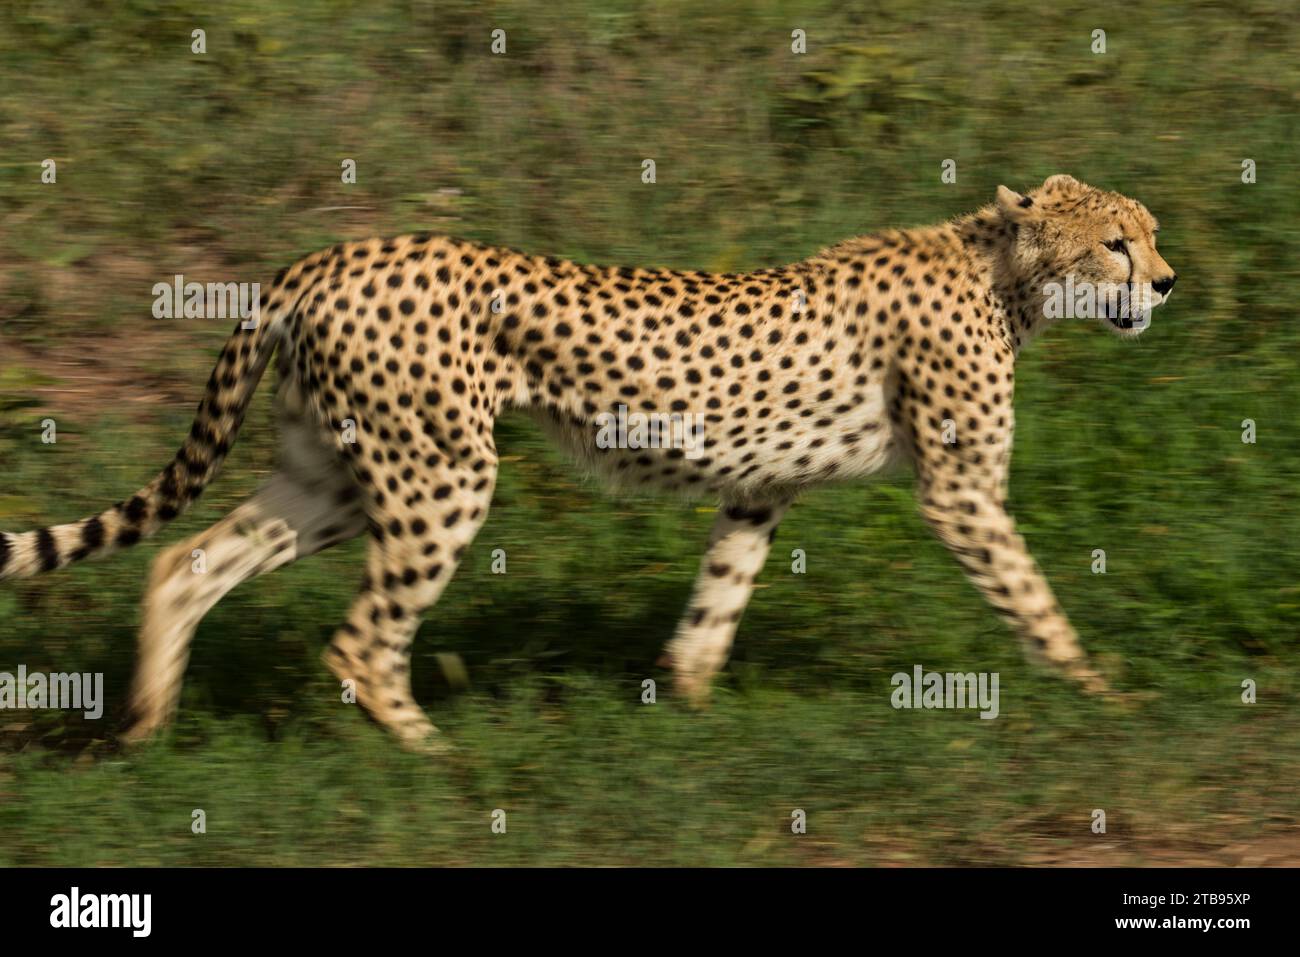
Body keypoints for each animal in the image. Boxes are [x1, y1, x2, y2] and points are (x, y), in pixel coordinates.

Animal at [0, 175, 1180, 748]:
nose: (1167, 282)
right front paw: (1109, 702)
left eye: (1150, 233)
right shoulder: (960, 491)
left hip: (333, 472)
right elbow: (1034, 597)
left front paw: (689, 708)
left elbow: (716, 601)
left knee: (185, 563)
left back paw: (145, 730)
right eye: (1117, 242)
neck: (1003, 273)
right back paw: (441, 762)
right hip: (439, 476)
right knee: (359, 641)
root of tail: (331, 252)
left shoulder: (757, 489)